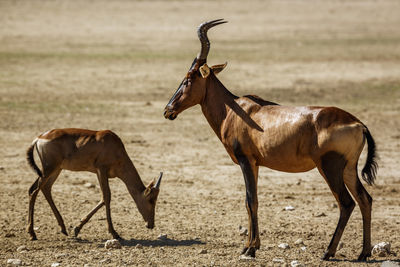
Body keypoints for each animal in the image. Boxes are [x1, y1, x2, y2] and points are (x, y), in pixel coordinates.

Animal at [26, 129, 162, 242]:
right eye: (151, 200)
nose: (151, 225)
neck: (114, 145)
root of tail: (39, 138)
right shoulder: (101, 170)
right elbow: (107, 197)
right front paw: (115, 233)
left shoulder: (98, 172)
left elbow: (103, 198)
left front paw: (76, 229)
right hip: (49, 169)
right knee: (34, 191)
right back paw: (32, 234)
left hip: (56, 169)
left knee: (44, 188)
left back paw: (63, 228)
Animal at [163, 19, 378, 262]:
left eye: (188, 78)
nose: (168, 110)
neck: (235, 109)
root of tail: (359, 124)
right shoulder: (255, 164)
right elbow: (252, 201)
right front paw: (250, 246)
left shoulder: (245, 160)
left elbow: (250, 200)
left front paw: (249, 249)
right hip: (348, 168)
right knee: (365, 199)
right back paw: (363, 253)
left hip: (329, 167)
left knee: (346, 203)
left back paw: (328, 251)